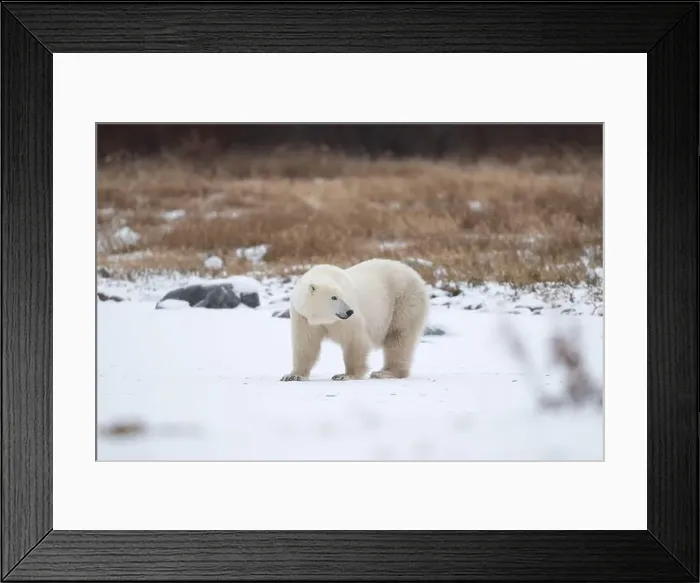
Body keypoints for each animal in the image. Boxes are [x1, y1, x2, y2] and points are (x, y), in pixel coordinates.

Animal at [280, 258, 430, 382]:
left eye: (343, 296)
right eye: (334, 297)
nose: (349, 311)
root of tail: (416, 276)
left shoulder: (345, 320)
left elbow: (354, 340)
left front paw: (345, 375)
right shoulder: (303, 317)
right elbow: (305, 344)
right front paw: (293, 375)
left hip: (404, 300)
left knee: (398, 336)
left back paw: (385, 373)